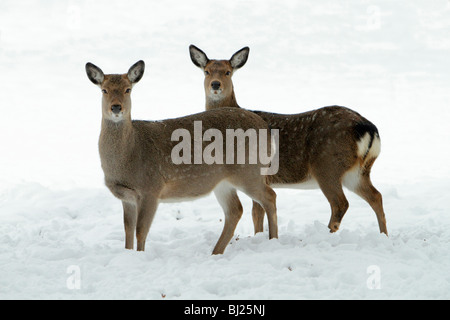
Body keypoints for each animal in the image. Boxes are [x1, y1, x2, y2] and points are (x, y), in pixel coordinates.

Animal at [82, 60, 276, 255]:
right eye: (104, 90)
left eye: (128, 89)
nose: (116, 107)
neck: (130, 155)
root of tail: (266, 129)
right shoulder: (126, 197)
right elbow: (128, 231)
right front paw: (128, 254)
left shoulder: (151, 188)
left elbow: (141, 231)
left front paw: (139, 255)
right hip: (223, 182)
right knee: (235, 210)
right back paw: (215, 252)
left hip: (249, 171)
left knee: (269, 196)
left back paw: (273, 239)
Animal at [189, 45, 386, 235]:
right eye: (206, 71)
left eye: (228, 72)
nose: (215, 84)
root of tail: (368, 128)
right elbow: (257, 213)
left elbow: (256, 212)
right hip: (358, 171)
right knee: (376, 196)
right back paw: (384, 235)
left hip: (327, 165)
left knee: (340, 203)